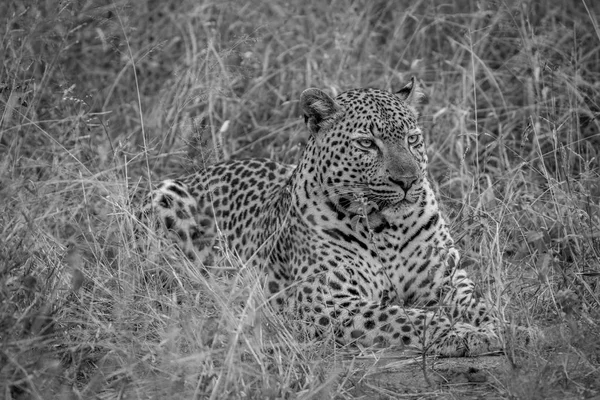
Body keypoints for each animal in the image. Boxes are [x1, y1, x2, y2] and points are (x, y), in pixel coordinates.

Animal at [142, 78, 506, 356]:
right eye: (366, 144)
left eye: (412, 139)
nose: (409, 180)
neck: (387, 228)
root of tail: (204, 170)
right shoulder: (326, 302)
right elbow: (408, 318)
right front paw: (462, 334)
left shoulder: (446, 278)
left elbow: (477, 302)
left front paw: (499, 325)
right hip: (165, 195)